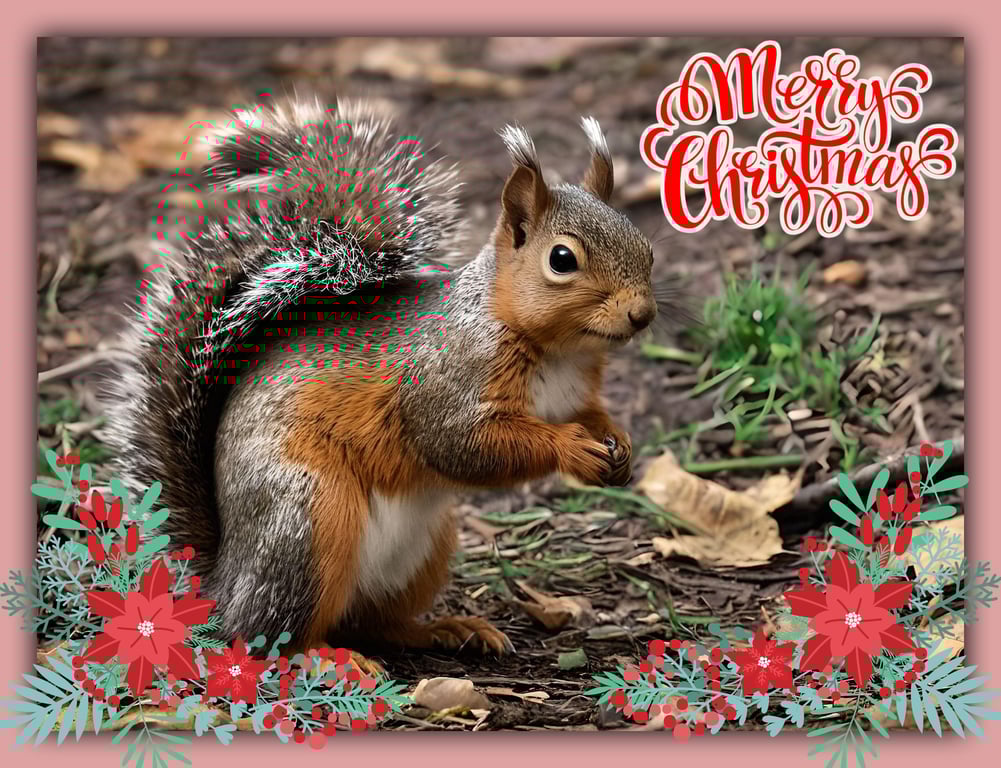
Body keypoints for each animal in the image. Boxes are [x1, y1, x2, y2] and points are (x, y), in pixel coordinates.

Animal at [106, 96, 658, 658]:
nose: (642, 315)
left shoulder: (573, 396)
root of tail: (223, 583)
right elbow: (462, 444)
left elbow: (591, 415)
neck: (559, 352)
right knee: (272, 637)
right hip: (307, 521)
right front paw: (571, 448)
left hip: (425, 548)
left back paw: (446, 628)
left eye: (646, 247)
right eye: (562, 259)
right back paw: (331, 659)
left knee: (372, 624)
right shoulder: (447, 380)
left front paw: (618, 444)